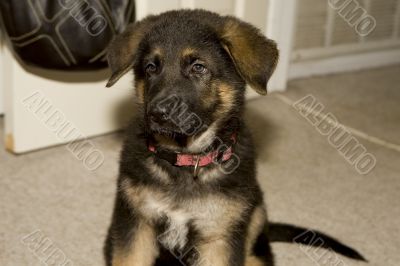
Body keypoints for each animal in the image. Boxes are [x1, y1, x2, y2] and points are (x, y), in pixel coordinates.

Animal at [104, 9, 366, 264]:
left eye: (198, 67)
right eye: (151, 67)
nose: (157, 114)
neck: (187, 160)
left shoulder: (219, 238)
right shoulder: (136, 228)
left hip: (256, 216)